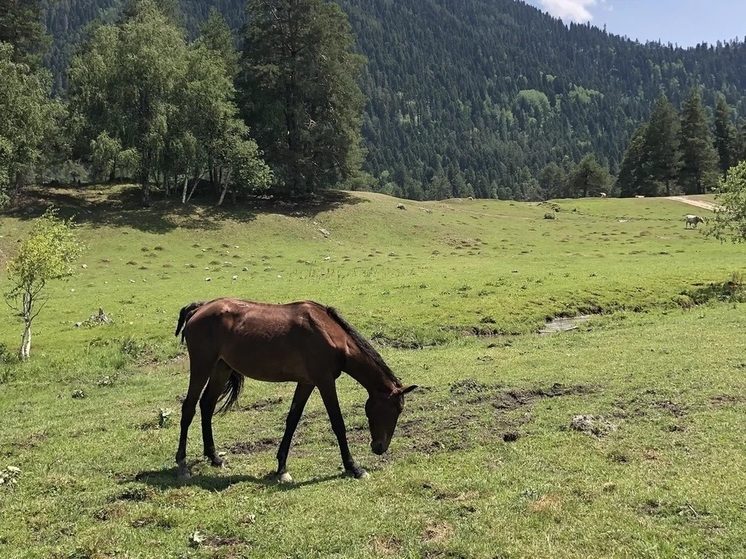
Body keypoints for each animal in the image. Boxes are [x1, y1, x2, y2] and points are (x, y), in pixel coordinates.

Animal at [172, 300, 416, 484]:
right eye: (395, 410)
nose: (380, 448)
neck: (329, 334)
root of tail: (199, 308)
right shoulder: (325, 381)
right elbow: (338, 423)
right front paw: (353, 467)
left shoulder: (306, 383)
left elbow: (292, 420)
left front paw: (281, 468)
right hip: (202, 365)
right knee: (189, 408)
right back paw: (182, 464)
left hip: (221, 367)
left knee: (207, 405)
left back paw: (214, 457)